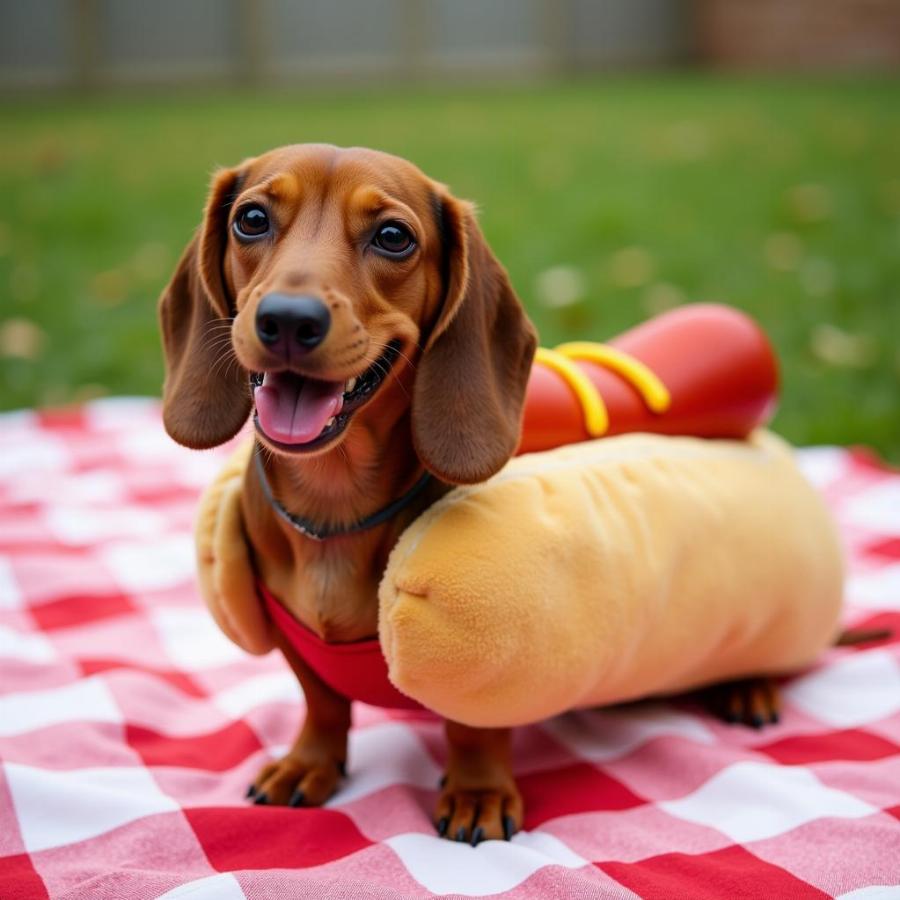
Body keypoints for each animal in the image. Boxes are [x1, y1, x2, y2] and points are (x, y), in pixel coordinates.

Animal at [159, 142, 536, 844]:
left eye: (392, 236)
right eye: (251, 219)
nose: (286, 320)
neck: (331, 507)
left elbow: (472, 724)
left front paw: (477, 788)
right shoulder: (296, 642)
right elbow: (323, 702)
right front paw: (310, 763)